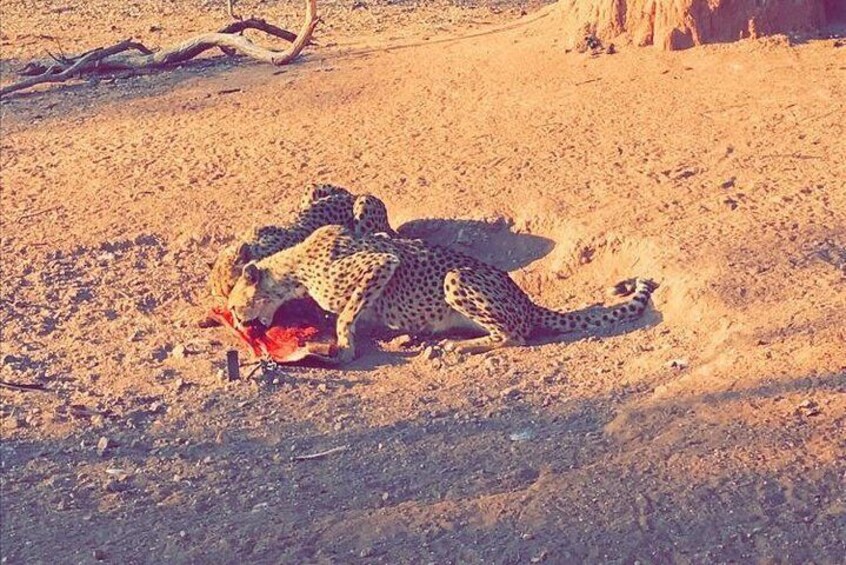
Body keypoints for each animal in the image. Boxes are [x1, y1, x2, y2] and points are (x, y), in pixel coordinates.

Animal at [229, 223, 660, 364]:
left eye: (235, 304)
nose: (236, 319)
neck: (293, 267)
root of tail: (527, 301)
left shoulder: (380, 262)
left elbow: (346, 313)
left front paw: (346, 348)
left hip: (457, 279)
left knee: (516, 336)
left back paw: (458, 346)